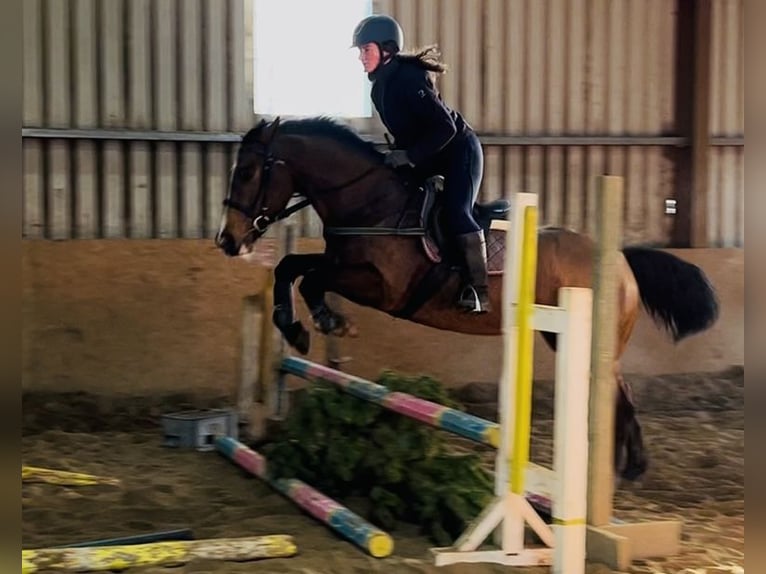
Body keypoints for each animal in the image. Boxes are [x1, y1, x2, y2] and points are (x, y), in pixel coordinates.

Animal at [215, 116, 719, 482]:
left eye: (248, 172)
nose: (227, 240)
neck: (372, 202)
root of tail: (617, 257)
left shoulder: (383, 287)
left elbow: (312, 280)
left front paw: (327, 322)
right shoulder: (340, 261)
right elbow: (290, 267)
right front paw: (296, 326)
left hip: (592, 339)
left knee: (618, 392)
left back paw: (624, 471)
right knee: (616, 392)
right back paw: (619, 467)